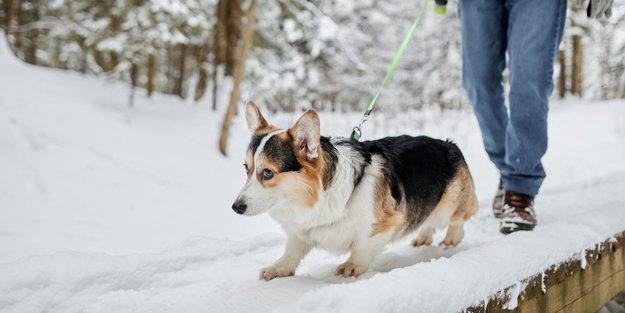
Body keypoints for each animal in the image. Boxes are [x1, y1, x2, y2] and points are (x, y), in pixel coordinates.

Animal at [234, 101, 478, 280]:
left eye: (267, 173)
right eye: (247, 168)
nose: (236, 207)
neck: (316, 196)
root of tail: (449, 144)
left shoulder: (382, 224)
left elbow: (361, 247)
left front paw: (352, 266)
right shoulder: (299, 232)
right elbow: (291, 251)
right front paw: (279, 268)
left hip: (450, 204)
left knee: (458, 217)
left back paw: (452, 237)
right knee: (426, 219)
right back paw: (423, 237)